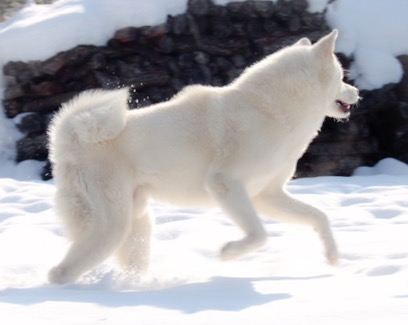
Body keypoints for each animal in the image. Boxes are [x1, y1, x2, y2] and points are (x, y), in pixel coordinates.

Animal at [48, 30, 360, 284]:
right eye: (342, 76)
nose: (357, 92)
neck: (272, 110)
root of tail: (69, 141)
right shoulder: (226, 185)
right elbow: (259, 235)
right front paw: (229, 253)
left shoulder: (267, 195)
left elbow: (319, 217)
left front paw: (333, 256)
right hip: (111, 227)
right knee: (59, 273)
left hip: (136, 227)